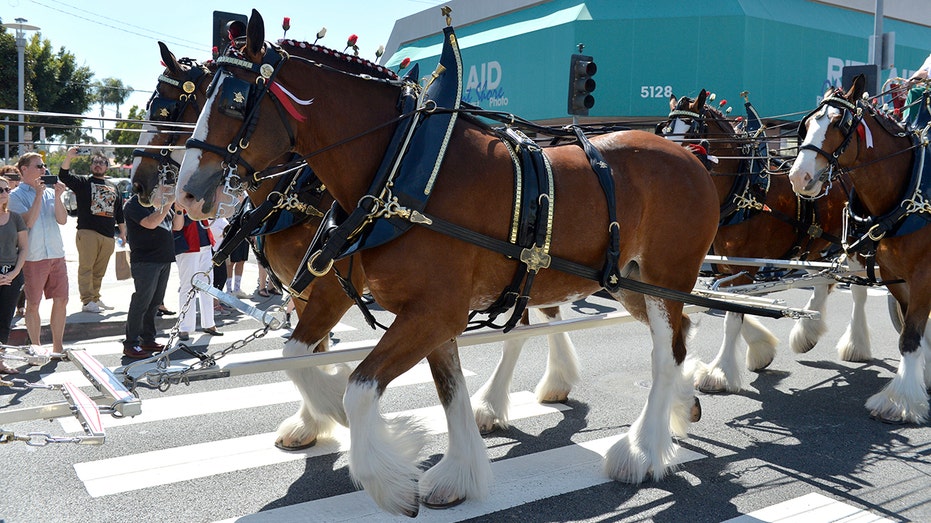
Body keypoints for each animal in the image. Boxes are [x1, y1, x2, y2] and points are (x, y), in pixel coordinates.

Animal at [131, 44, 584, 450]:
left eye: (170, 108)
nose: (139, 183)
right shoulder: (304, 290)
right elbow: (307, 352)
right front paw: (311, 421)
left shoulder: (331, 287)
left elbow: (300, 352)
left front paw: (329, 409)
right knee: (542, 313)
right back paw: (552, 383)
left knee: (523, 328)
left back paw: (495, 403)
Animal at [660, 92, 872, 392]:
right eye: (667, 131)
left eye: (694, 133)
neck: (745, 192)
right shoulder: (728, 269)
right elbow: (732, 306)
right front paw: (761, 349)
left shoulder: (744, 268)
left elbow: (731, 317)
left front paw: (718, 373)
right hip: (814, 246)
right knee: (824, 282)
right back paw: (807, 333)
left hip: (857, 245)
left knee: (858, 290)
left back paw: (856, 345)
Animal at [792, 74, 931, 426]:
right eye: (808, 124)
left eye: (838, 124)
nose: (798, 176)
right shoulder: (898, 276)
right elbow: (915, 333)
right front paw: (921, 381)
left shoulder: (923, 275)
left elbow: (910, 336)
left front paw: (900, 402)